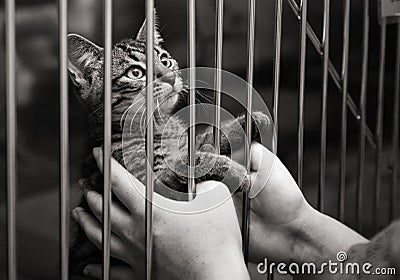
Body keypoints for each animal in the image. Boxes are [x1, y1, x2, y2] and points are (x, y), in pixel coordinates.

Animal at [67, 19, 270, 278]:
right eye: (135, 73)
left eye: (164, 60)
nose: (170, 77)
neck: (160, 126)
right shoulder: (148, 179)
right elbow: (188, 163)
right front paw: (233, 171)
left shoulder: (185, 143)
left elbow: (202, 141)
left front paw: (248, 123)